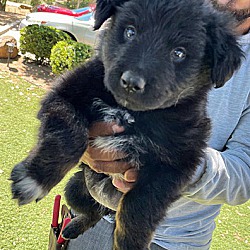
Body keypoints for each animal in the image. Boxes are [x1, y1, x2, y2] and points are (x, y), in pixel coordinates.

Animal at [10, 0, 242, 250]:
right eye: (130, 32)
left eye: (179, 53)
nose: (131, 82)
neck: (131, 113)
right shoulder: (64, 95)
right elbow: (70, 134)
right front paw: (33, 179)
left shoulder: (176, 164)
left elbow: (138, 208)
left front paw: (130, 244)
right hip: (75, 188)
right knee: (93, 212)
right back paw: (73, 226)